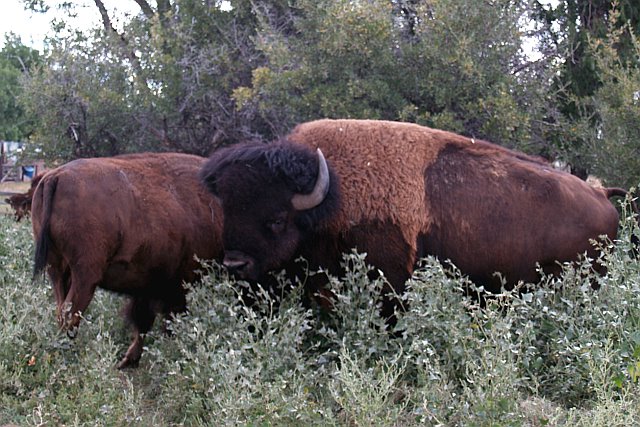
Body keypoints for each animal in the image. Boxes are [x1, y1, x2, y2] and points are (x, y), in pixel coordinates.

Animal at [32, 153, 223, 368]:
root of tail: (55, 177)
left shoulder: (150, 285)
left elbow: (144, 321)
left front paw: (128, 360)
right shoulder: (177, 284)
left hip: (57, 270)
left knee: (61, 310)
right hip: (85, 276)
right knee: (70, 314)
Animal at [200, 119, 637, 318]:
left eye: (277, 219)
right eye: (227, 212)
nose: (235, 264)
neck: (333, 196)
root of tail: (601, 194)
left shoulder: (389, 281)